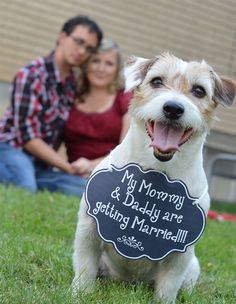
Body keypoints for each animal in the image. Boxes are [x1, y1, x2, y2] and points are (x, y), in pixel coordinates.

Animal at [72, 53, 236, 302]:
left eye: (199, 91)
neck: (157, 169)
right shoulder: (89, 228)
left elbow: (168, 285)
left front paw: (163, 300)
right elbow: (84, 266)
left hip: (192, 266)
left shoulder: (180, 252)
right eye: (157, 81)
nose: (173, 108)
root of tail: (128, 282)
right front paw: (80, 293)